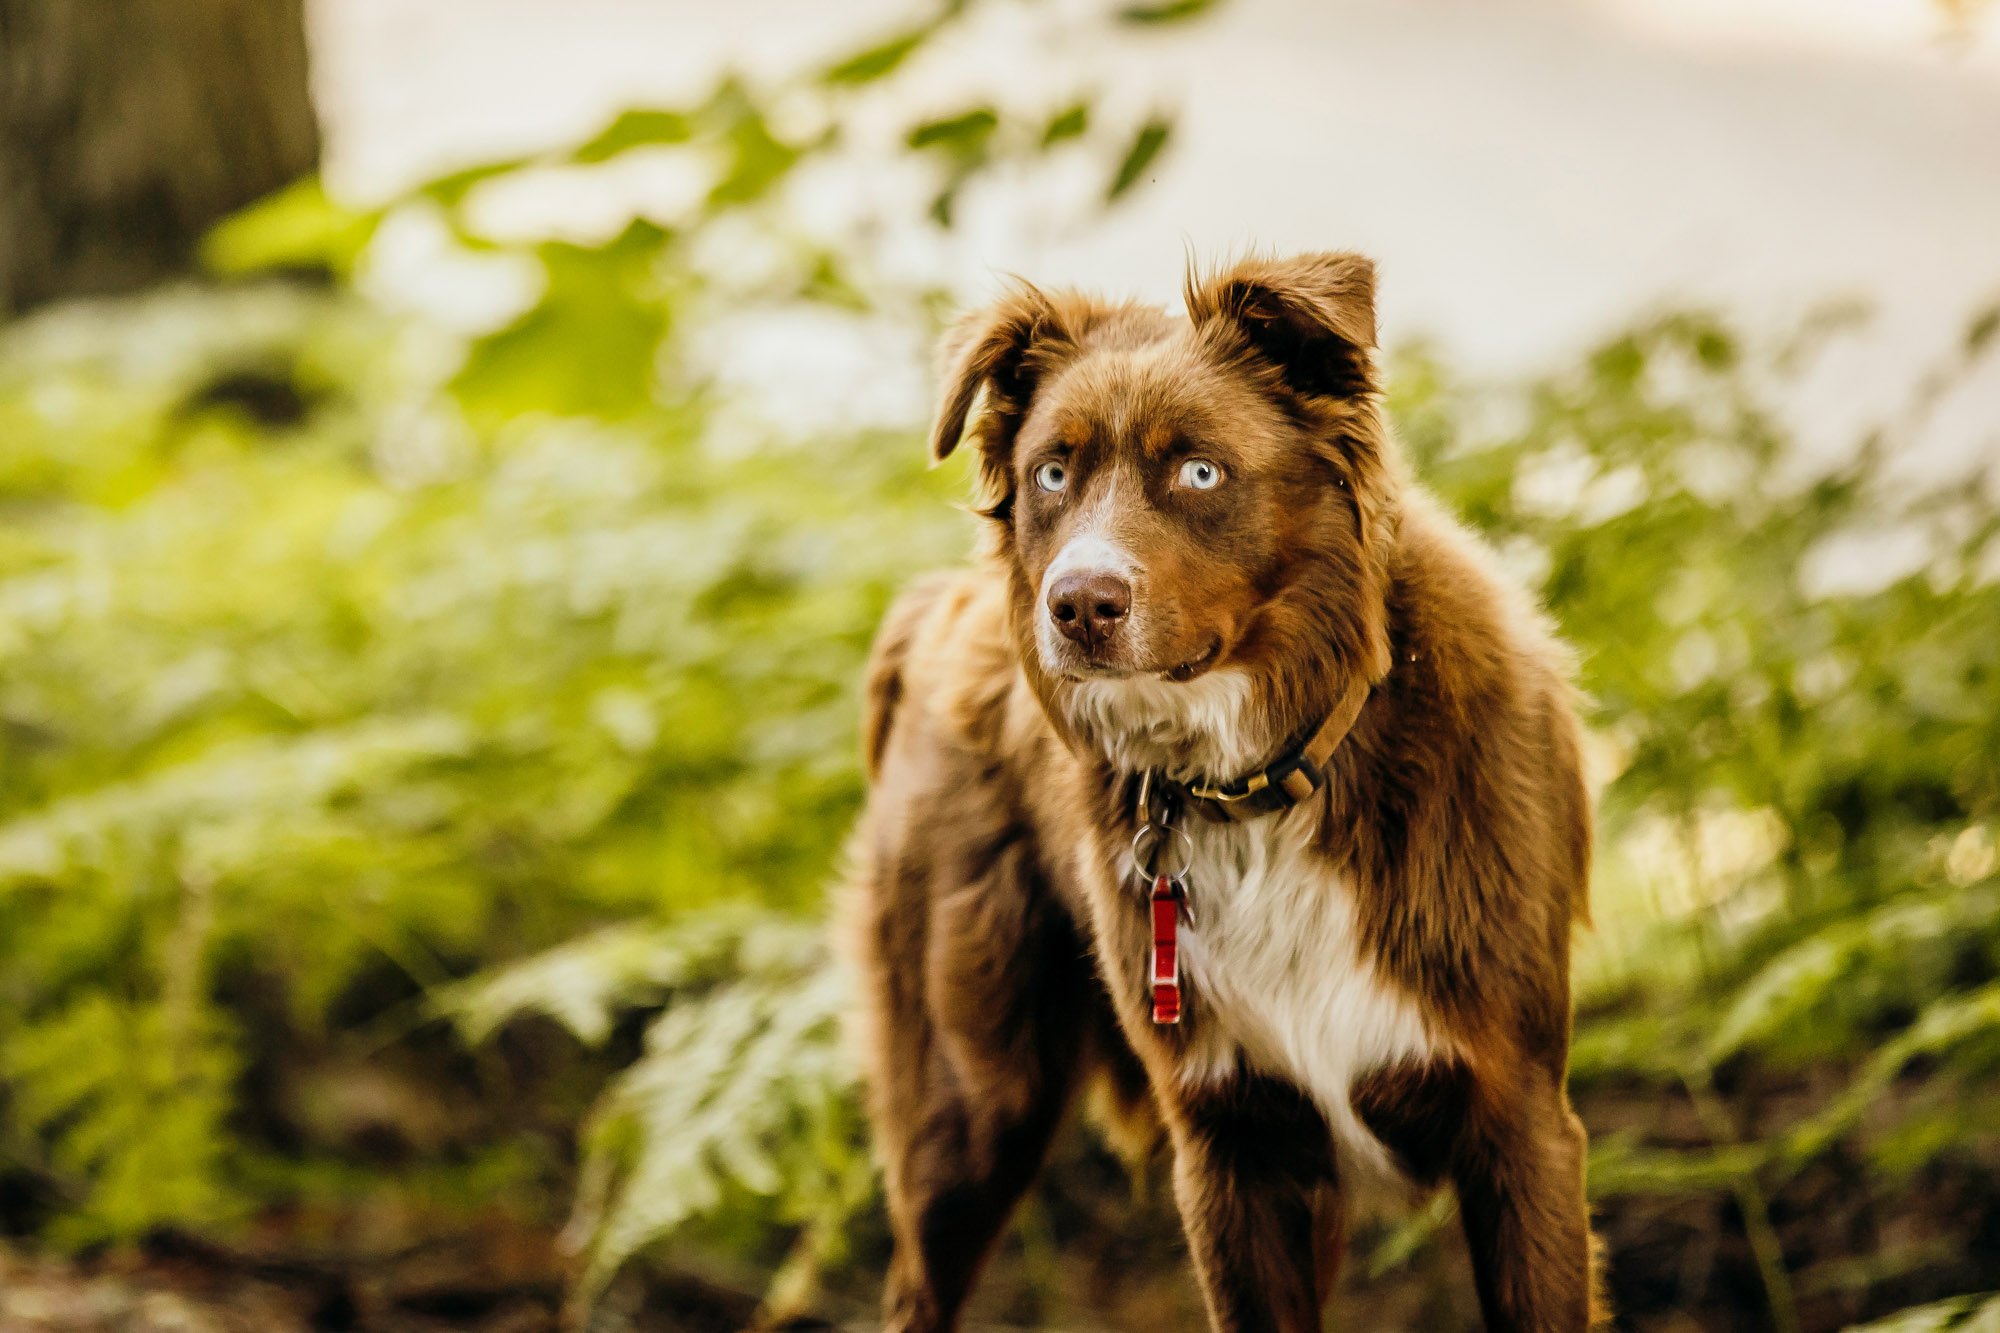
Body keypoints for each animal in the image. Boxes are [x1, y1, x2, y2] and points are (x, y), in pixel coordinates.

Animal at [836, 254, 1600, 1328]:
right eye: (1052, 474)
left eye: (1200, 471)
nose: (1076, 604)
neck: (1260, 784)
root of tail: (932, 606)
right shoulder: (1231, 1151)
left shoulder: (1520, 1120)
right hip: (967, 1100)